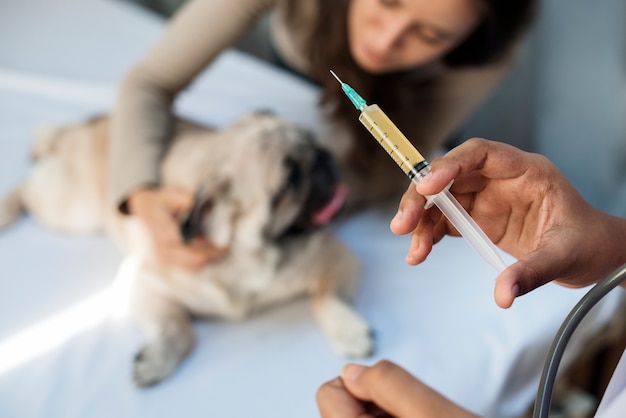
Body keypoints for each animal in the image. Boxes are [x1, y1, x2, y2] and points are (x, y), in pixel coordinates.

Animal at [0, 111, 372, 386]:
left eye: (314, 140)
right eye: (291, 180)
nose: (323, 157)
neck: (247, 256)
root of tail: (100, 118)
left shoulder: (336, 259)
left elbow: (326, 297)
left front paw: (349, 331)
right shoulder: (143, 284)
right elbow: (179, 329)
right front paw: (156, 360)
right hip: (73, 211)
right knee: (29, 188)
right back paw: (7, 209)